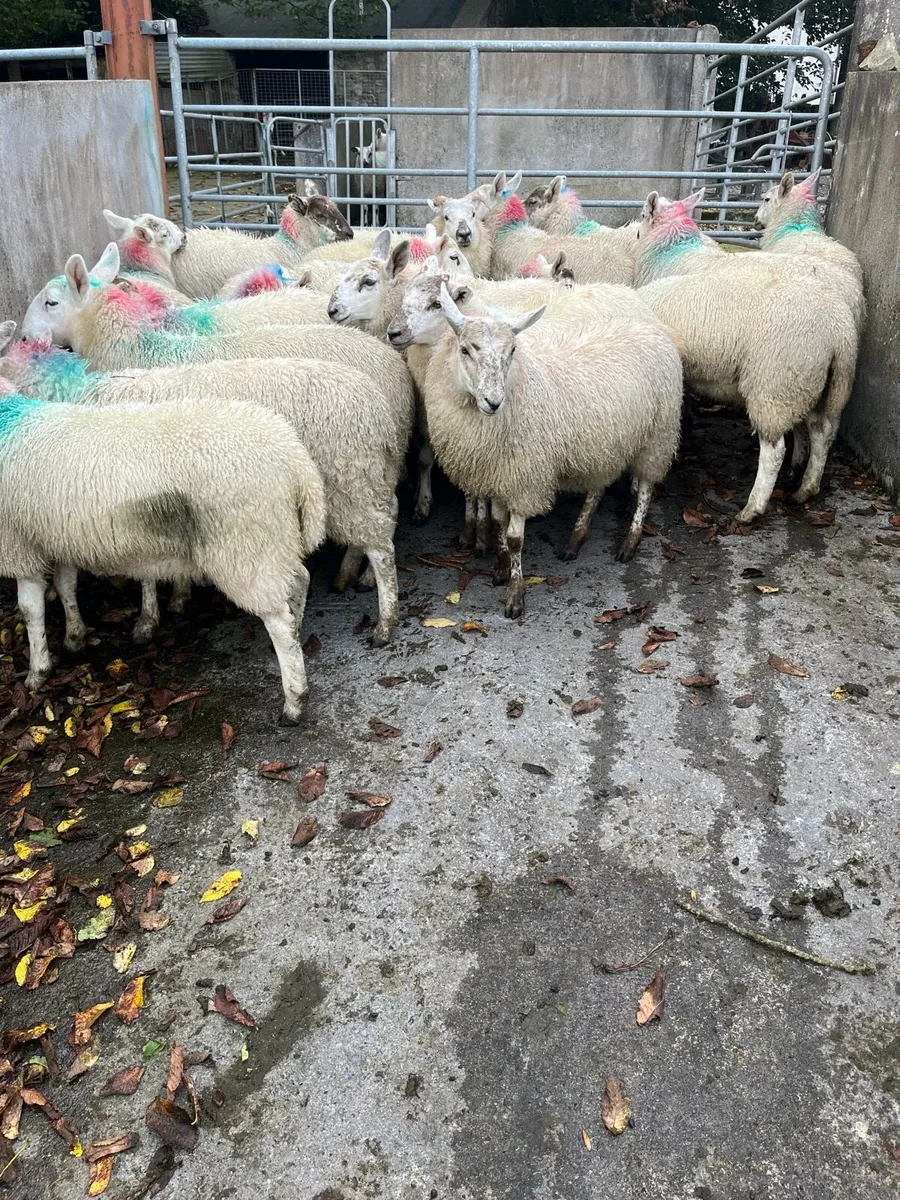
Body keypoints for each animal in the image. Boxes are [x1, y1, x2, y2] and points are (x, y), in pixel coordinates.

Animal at [0, 377, 326, 722]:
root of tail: (296, 460)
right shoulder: (57, 535)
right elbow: (65, 587)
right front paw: (74, 636)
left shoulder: (17, 542)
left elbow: (30, 609)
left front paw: (37, 671)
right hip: (272, 539)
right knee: (299, 582)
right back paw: (297, 632)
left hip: (244, 543)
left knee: (277, 619)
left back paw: (294, 700)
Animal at [1, 329, 408, 648]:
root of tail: (378, 408)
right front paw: (175, 598)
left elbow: (145, 573)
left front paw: (147, 619)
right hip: (365, 476)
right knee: (385, 519)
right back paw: (352, 578)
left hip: (344, 480)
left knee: (379, 544)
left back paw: (384, 621)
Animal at [419, 286, 682, 617]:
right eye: (465, 350)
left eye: (512, 351)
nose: (493, 402)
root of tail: (654, 330)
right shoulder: (498, 473)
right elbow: (498, 523)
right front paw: (501, 568)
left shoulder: (524, 476)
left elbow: (515, 538)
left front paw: (515, 594)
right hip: (605, 444)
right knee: (597, 488)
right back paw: (575, 539)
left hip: (658, 434)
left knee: (646, 486)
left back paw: (630, 541)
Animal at [635, 190, 859, 520]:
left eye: (641, 220)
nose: (635, 233)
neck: (671, 253)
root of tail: (840, 329)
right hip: (810, 381)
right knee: (820, 431)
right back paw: (805, 486)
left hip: (776, 382)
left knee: (775, 449)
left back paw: (753, 507)